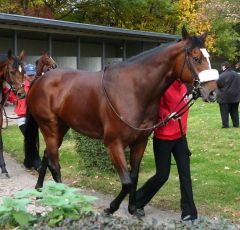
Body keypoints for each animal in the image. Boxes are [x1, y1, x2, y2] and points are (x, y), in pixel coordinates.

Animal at [24, 27, 219, 216]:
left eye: (208, 58)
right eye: (196, 58)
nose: (212, 93)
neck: (133, 89)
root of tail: (40, 80)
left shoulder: (140, 142)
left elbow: (134, 176)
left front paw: (132, 208)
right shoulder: (114, 144)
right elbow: (126, 182)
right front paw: (111, 208)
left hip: (61, 127)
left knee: (47, 156)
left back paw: (40, 191)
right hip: (49, 127)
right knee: (54, 165)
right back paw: (64, 198)